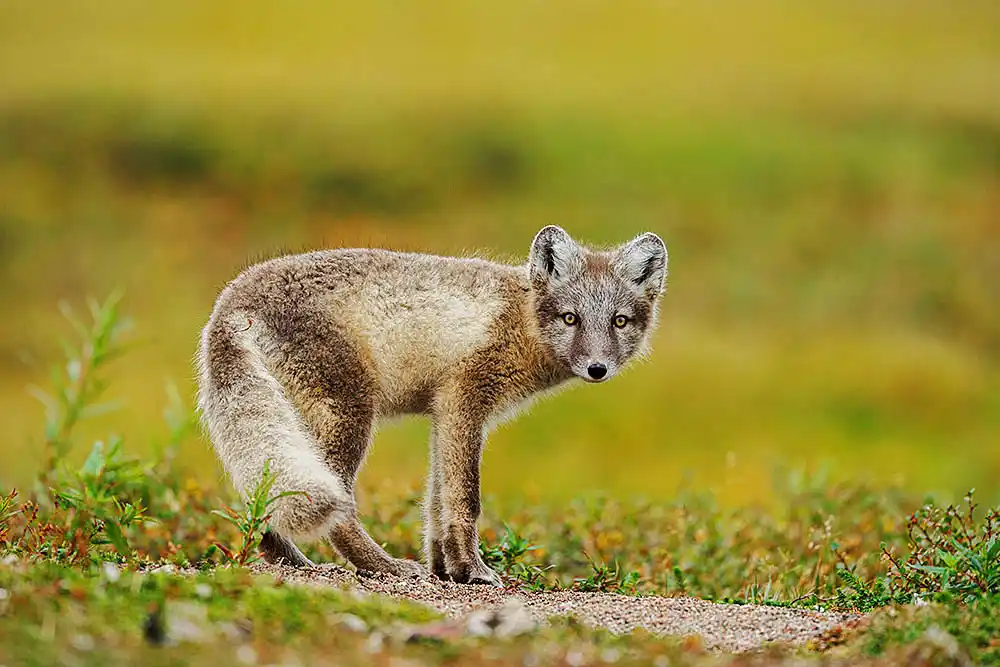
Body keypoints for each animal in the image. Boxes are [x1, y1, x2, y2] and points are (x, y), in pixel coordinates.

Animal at [196, 225, 667, 585]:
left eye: (619, 321)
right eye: (571, 318)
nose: (597, 368)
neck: (522, 321)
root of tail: (230, 301)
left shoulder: (444, 415)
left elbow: (436, 503)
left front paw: (447, 569)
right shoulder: (465, 402)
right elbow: (464, 500)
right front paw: (473, 570)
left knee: (262, 504)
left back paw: (293, 563)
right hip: (347, 417)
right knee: (337, 510)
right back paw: (383, 567)